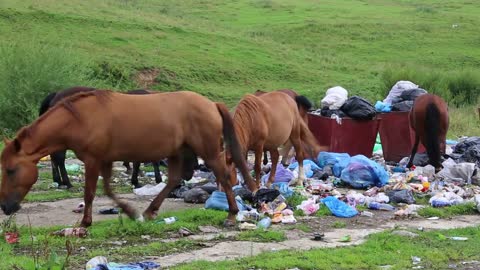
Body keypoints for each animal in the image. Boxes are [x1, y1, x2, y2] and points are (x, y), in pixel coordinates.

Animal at [0, 90, 256, 226]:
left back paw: (232, 214)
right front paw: (130, 211)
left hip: (209, 151)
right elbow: (107, 190)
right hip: (177, 152)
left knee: (224, 175)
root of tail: (211, 104)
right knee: (174, 179)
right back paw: (150, 211)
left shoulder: (93, 160)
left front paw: (85, 223)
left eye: (11, 170)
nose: (5, 206)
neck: (79, 119)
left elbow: (90, 192)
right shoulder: (105, 160)